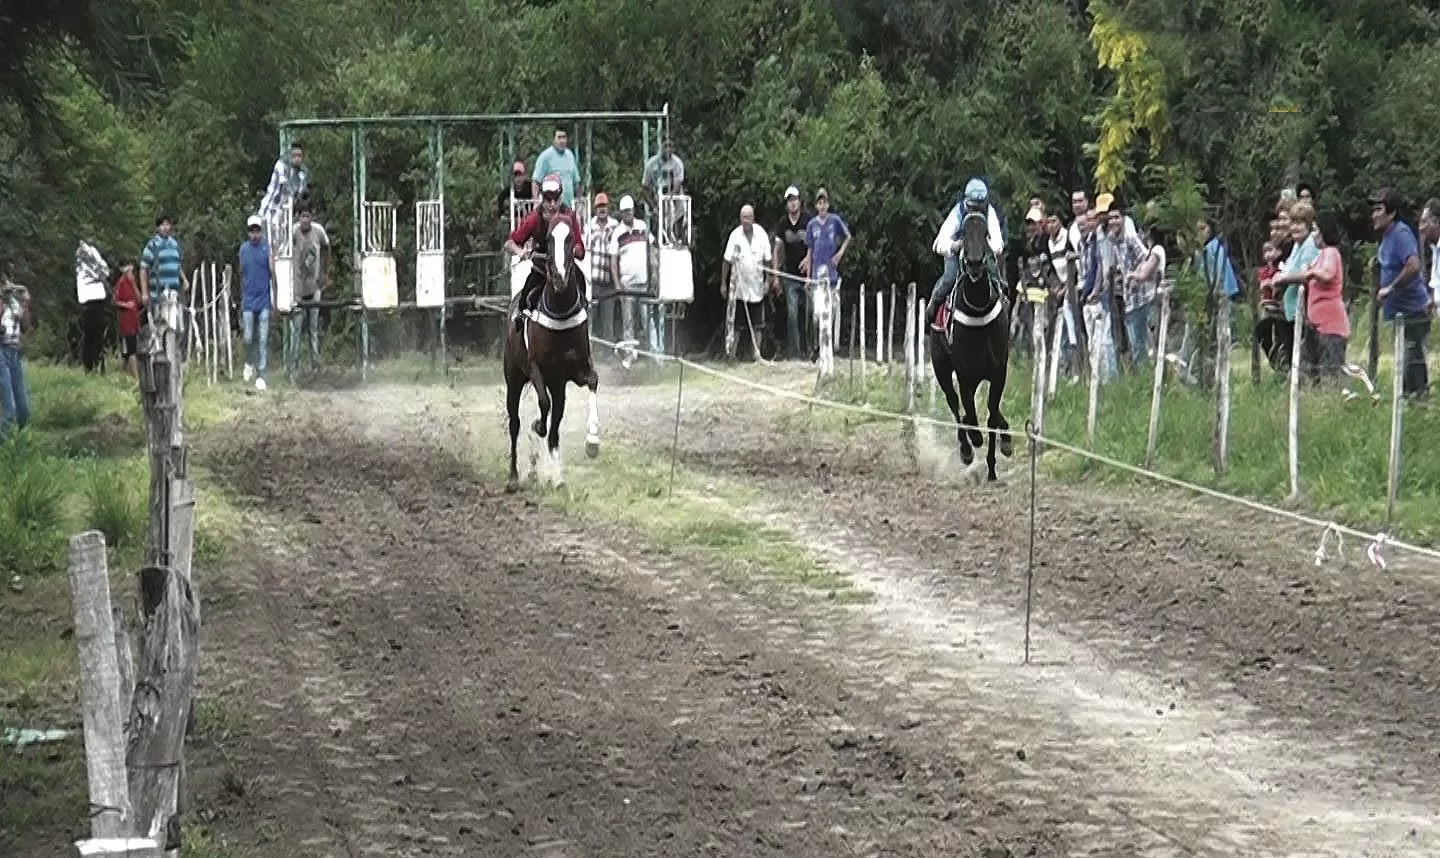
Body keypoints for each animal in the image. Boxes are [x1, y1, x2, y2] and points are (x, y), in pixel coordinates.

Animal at [504, 217, 599, 492]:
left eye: (571, 239)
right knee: (515, 423)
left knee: (555, 428)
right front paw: (537, 425)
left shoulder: (575, 370)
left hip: (558, 386)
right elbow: (543, 405)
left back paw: (556, 477)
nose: (558, 277)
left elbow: (593, 381)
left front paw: (593, 441)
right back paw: (514, 477)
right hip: (514, 377)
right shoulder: (536, 369)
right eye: (548, 239)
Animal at [927, 205, 1019, 477]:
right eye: (963, 234)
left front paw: (998, 454)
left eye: (986, 232)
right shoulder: (965, 375)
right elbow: (971, 413)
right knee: (954, 404)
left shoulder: (998, 371)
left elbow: (992, 413)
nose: (976, 263)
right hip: (942, 368)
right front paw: (974, 443)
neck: (978, 310)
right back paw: (966, 448)